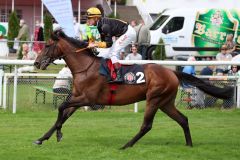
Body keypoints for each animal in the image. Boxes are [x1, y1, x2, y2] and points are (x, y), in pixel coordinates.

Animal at [33, 30, 232, 149]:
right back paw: (189, 145)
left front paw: (58, 135)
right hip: (165, 102)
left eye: (48, 45)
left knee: (147, 125)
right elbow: (63, 115)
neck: (86, 68)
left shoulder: (88, 99)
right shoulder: (78, 98)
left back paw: (126, 145)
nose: (36, 62)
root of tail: (171, 71)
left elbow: (61, 108)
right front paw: (42, 138)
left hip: (154, 99)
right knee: (183, 119)